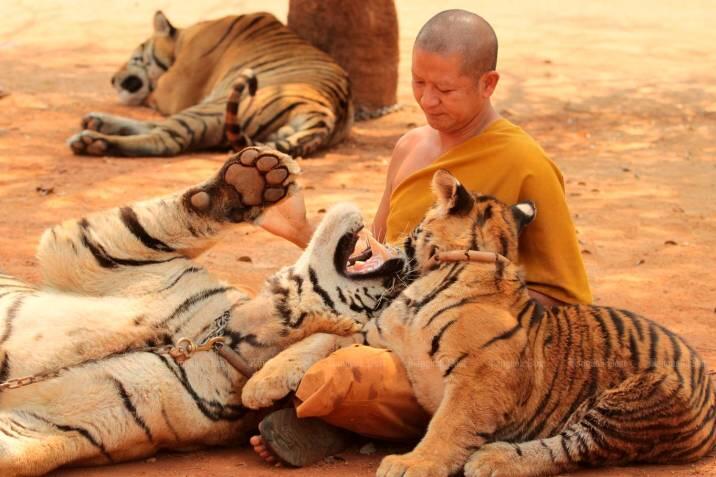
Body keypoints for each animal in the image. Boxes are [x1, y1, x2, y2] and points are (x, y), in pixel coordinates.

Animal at [0, 146, 408, 476]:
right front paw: (253, 179)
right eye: (388, 293)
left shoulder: (57, 426)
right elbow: (158, 224)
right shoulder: (98, 254)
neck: (220, 338)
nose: (402, 267)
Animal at [67, 10, 352, 158]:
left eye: (134, 57)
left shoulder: (175, 90)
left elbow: (154, 97)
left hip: (213, 108)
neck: (183, 38)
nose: (112, 79)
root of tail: (326, 116)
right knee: (157, 128)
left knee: (166, 140)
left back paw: (92, 141)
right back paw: (96, 122)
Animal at [242, 170, 716, 476]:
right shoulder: (379, 336)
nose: (396, 239)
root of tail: (704, 375)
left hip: (630, 403)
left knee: (571, 447)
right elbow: (318, 340)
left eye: (418, 224)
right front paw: (260, 385)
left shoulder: (479, 377)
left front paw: (412, 464)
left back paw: (492, 459)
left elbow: (448, 425)